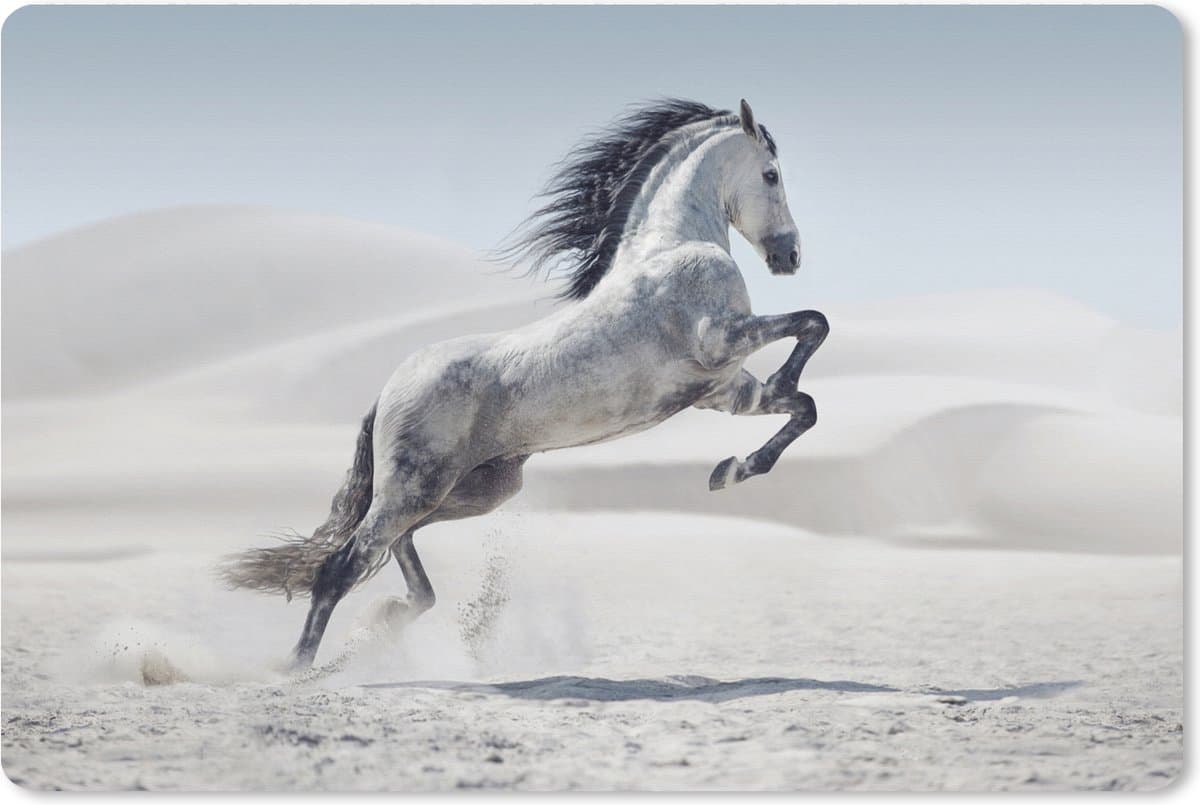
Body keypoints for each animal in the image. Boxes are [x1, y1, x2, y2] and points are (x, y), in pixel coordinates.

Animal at [220, 98, 829, 671]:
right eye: (771, 174)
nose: (790, 256)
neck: (671, 247)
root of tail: (389, 390)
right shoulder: (720, 340)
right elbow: (813, 323)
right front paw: (748, 441)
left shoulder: (723, 391)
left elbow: (804, 406)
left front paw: (731, 470)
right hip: (414, 488)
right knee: (342, 565)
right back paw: (298, 669)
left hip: (474, 489)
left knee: (397, 548)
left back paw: (387, 619)